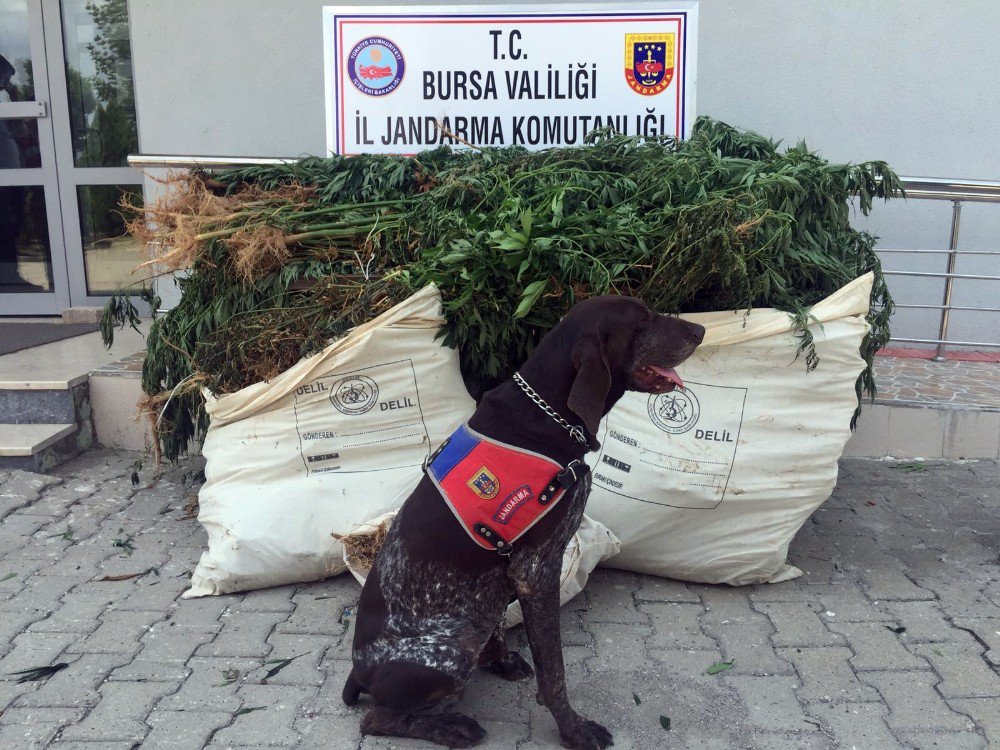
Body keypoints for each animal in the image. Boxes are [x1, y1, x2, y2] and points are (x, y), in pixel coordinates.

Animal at [344, 296, 704, 750]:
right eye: (642, 318)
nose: (701, 331)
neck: (548, 414)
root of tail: (358, 671)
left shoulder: (514, 574)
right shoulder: (537, 570)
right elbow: (555, 671)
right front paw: (573, 730)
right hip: (448, 654)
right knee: (374, 718)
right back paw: (451, 727)